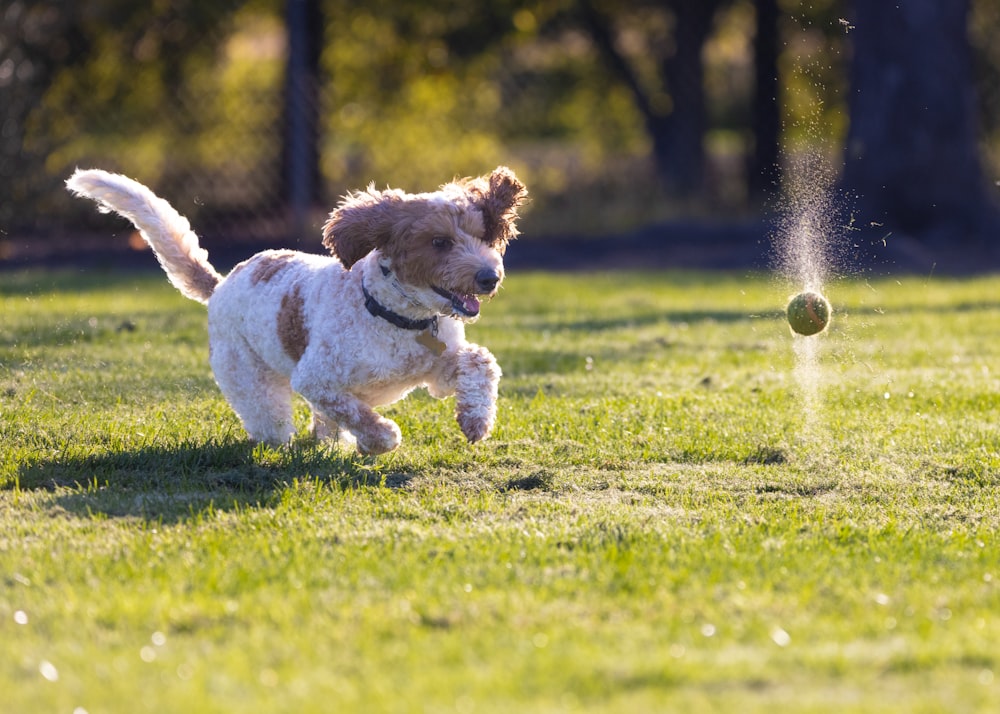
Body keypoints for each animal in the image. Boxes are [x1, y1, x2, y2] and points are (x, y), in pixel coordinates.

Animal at [66, 167, 528, 450]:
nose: (489, 277)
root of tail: (222, 284)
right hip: (251, 385)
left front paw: (476, 420)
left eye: (482, 236)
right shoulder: (317, 379)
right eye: (439, 242)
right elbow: (361, 416)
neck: (395, 319)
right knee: (275, 424)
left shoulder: (437, 367)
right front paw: (377, 440)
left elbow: (480, 363)